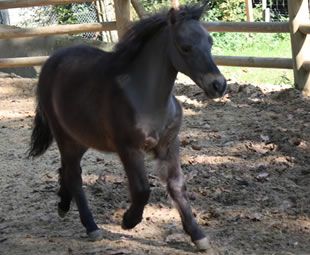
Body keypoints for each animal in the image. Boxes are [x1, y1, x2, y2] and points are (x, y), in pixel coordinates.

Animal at [27, 4, 226, 251]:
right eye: (185, 47)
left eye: (209, 41)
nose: (218, 85)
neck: (146, 98)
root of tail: (50, 62)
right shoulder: (129, 148)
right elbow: (142, 189)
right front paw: (128, 221)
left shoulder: (169, 145)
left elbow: (177, 185)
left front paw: (197, 235)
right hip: (64, 136)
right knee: (74, 175)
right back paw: (91, 226)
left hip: (81, 137)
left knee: (66, 169)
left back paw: (63, 205)